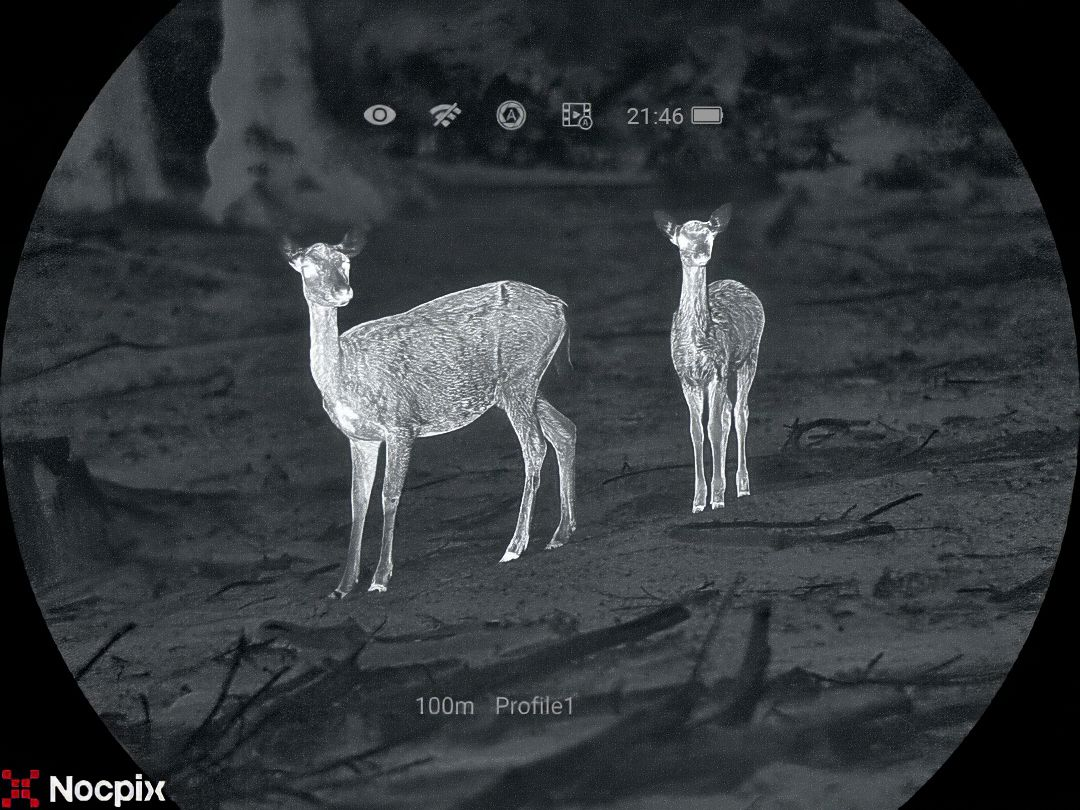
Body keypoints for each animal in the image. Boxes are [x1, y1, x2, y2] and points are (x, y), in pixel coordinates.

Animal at [281, 232, 577, 598]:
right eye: (306, 268)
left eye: (345, 263)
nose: (342, 291)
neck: (344, 377)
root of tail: (559, 307)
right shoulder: (360, 437)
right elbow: (357, 502)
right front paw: (343, 585)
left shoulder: (400, 424)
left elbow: (389, 495)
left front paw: (380, 578)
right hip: (522, 386)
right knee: (565, 430)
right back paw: (561, 533)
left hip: (519, 379)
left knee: (535, 447)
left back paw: (514, 547)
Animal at [654, 204, 765, 512]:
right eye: (681, 241)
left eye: (710, 236)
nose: (701, 253)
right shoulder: (687, 378)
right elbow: (695, 431)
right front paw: (697, 500)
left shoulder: (717, 370)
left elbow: (713, 427)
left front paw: (716, 497)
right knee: (728, 411)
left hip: (749, 357)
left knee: (740, 412)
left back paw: (742, 485)